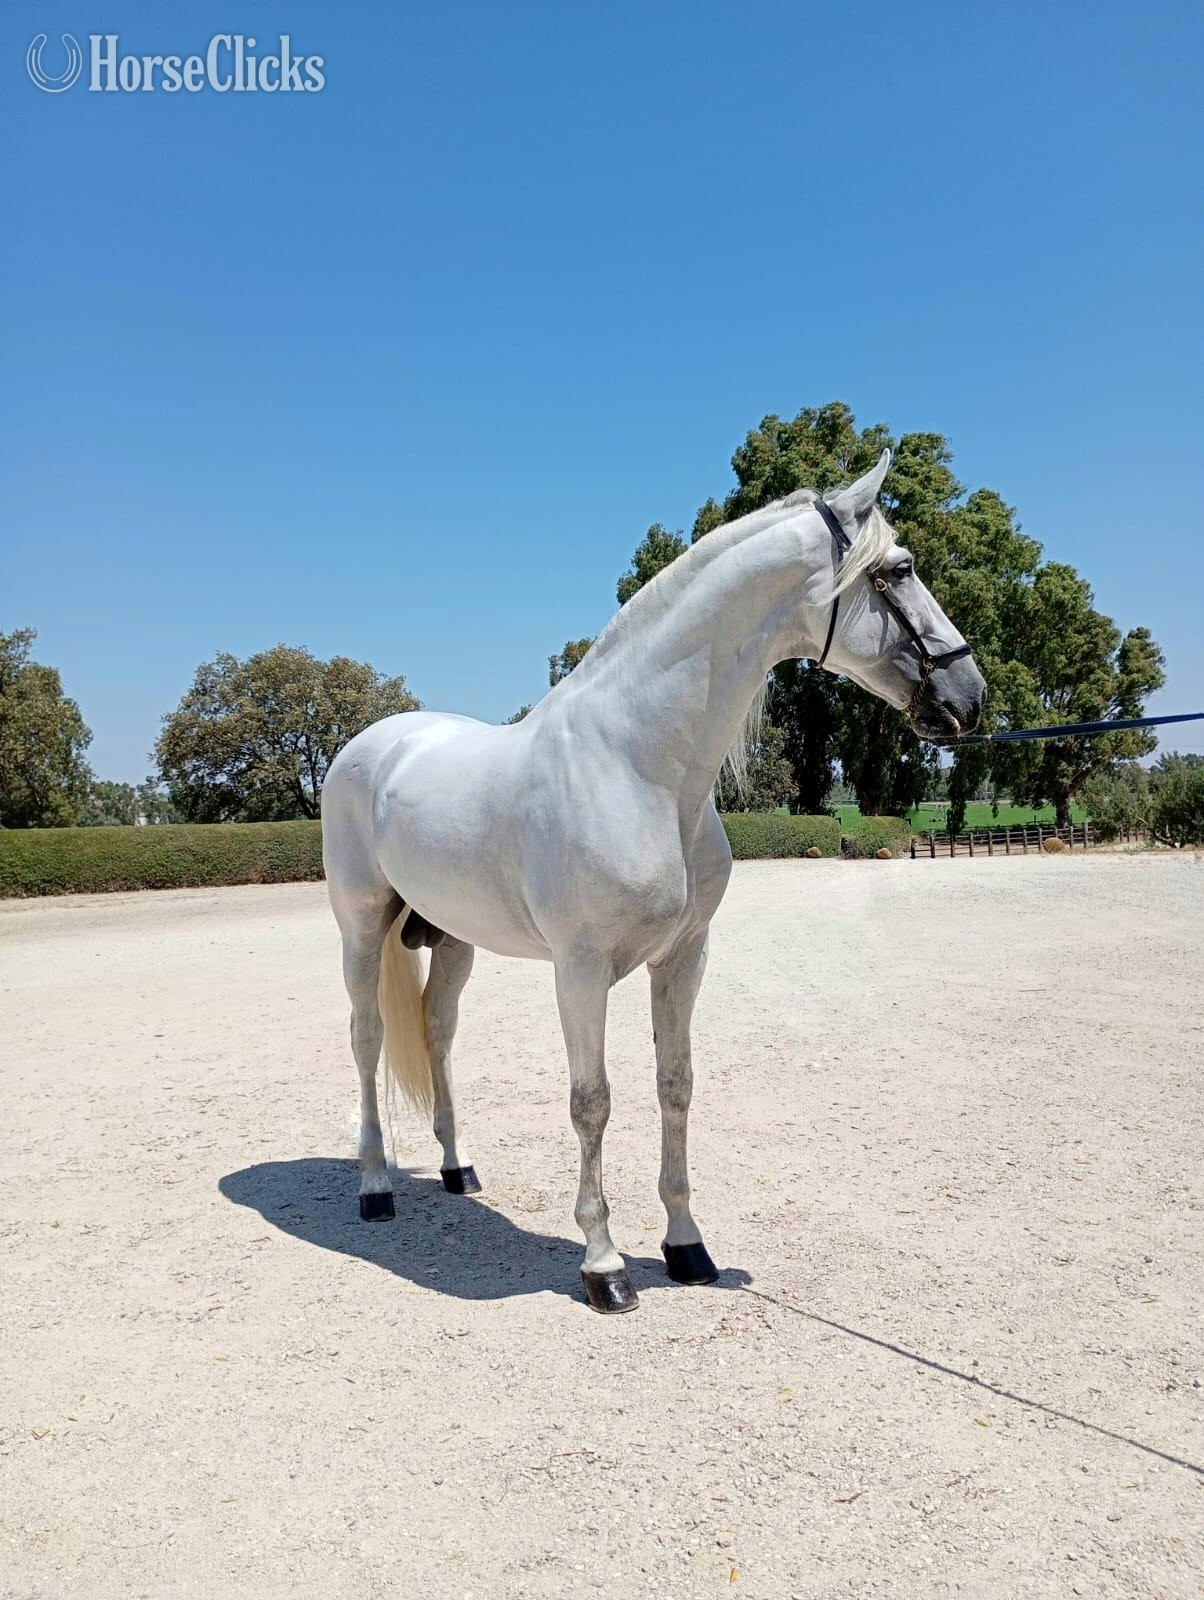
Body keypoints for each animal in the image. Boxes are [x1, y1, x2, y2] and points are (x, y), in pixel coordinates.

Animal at [321, 450, 986, 1312]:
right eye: (896, 571)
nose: (968, 698)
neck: (637, 764)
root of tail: (372, 744)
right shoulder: (580, 970)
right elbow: (592, 1102)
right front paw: (604, 1264)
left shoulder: (682, 959)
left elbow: (675, 1085)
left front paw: (686, 1246)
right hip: (362, 927)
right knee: (367, 1039)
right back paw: (375, 1187)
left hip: (455, 939)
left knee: (437, 1032)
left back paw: (456, 1168)